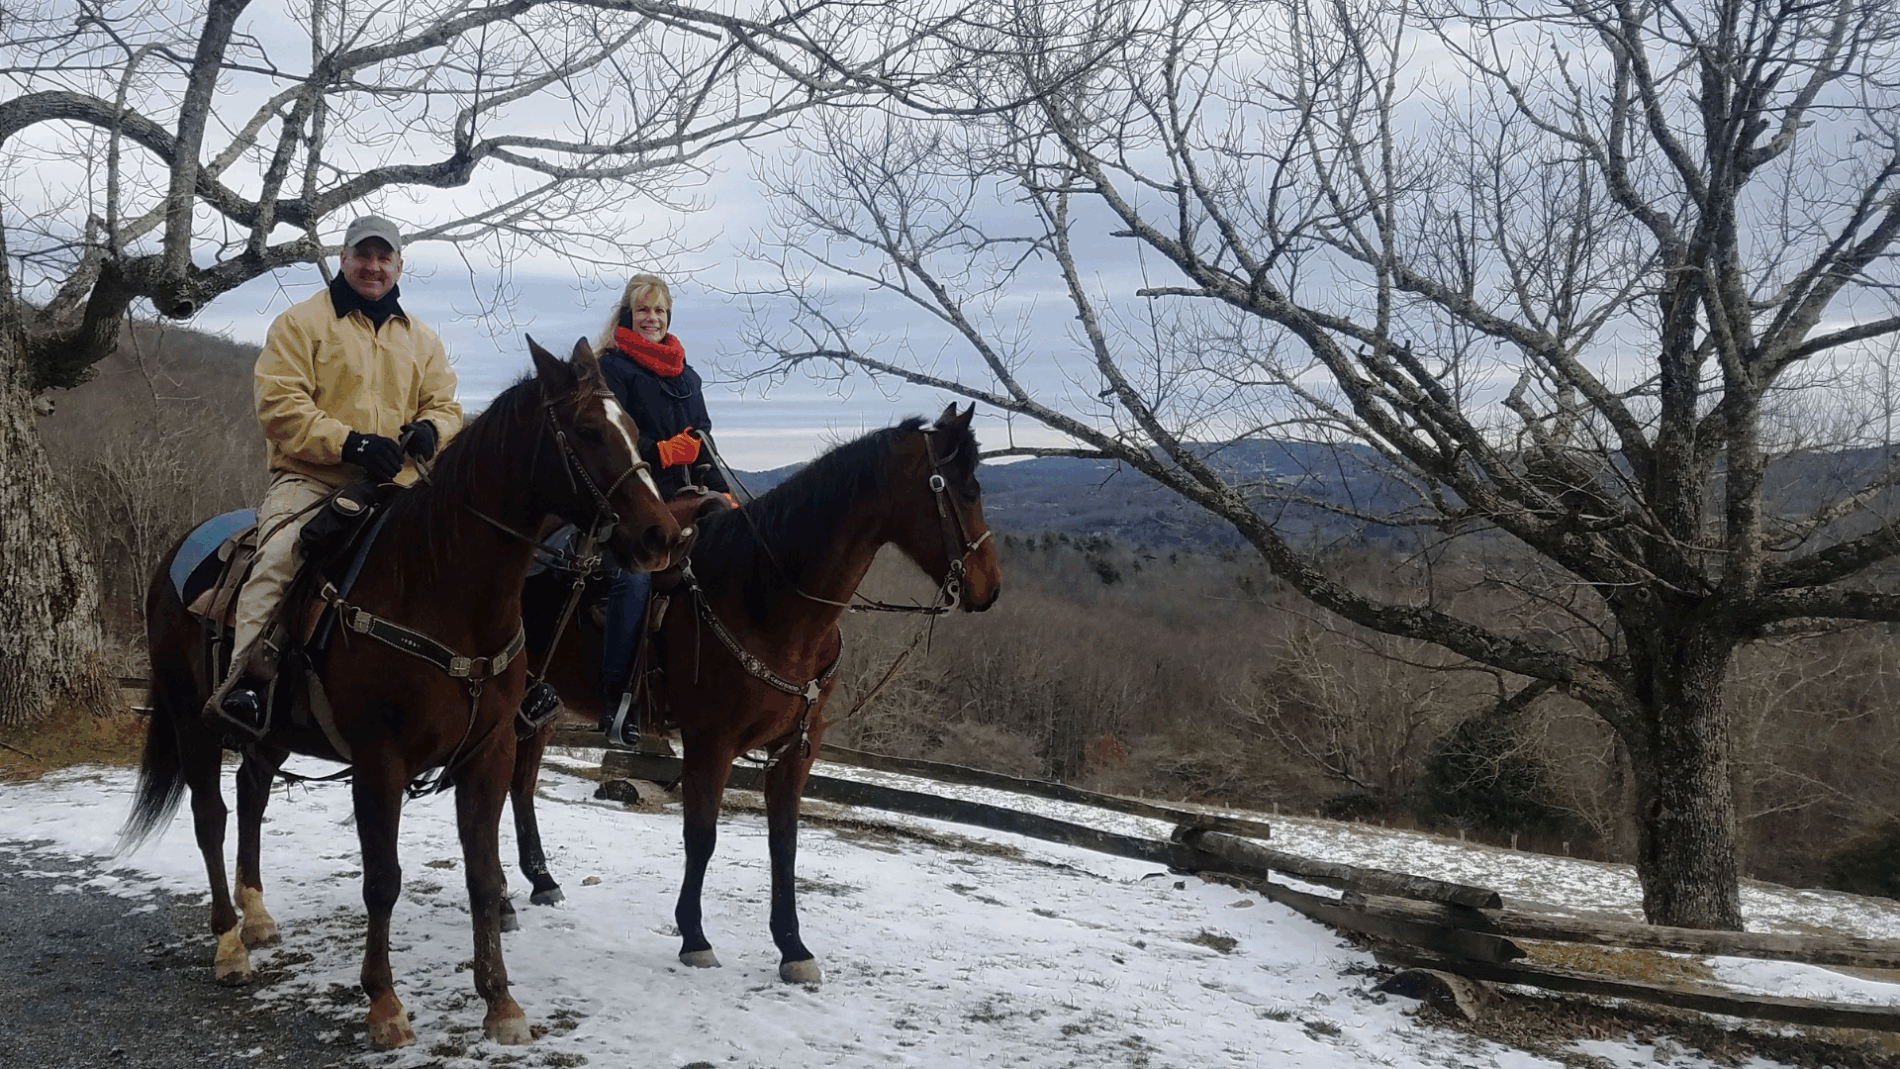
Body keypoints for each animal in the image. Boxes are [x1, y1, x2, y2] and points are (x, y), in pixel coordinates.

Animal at [119, 337, 689, 1051]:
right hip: (192, 722)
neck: (440, 587)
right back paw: (229, 944)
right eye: (587, 431)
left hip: (269, 733)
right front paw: (385, 1005)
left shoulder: (489, 754)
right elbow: (382, 881)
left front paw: (500, 1003)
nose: (662, 538)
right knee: (210, 817)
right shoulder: (379, 762)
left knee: (250, 796)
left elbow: (484, 875)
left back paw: (257, 916)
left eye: (635, 429)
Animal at [513, 402, 1002, 983]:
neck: (766, 597)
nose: (990, 587)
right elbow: (702, 836)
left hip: (539, 708)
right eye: (965, 490)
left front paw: (793, 947)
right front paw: (695, 937)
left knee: (519, 786)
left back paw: (541, 882)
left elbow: (784, 843)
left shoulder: (795, 750)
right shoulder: (711, 744)